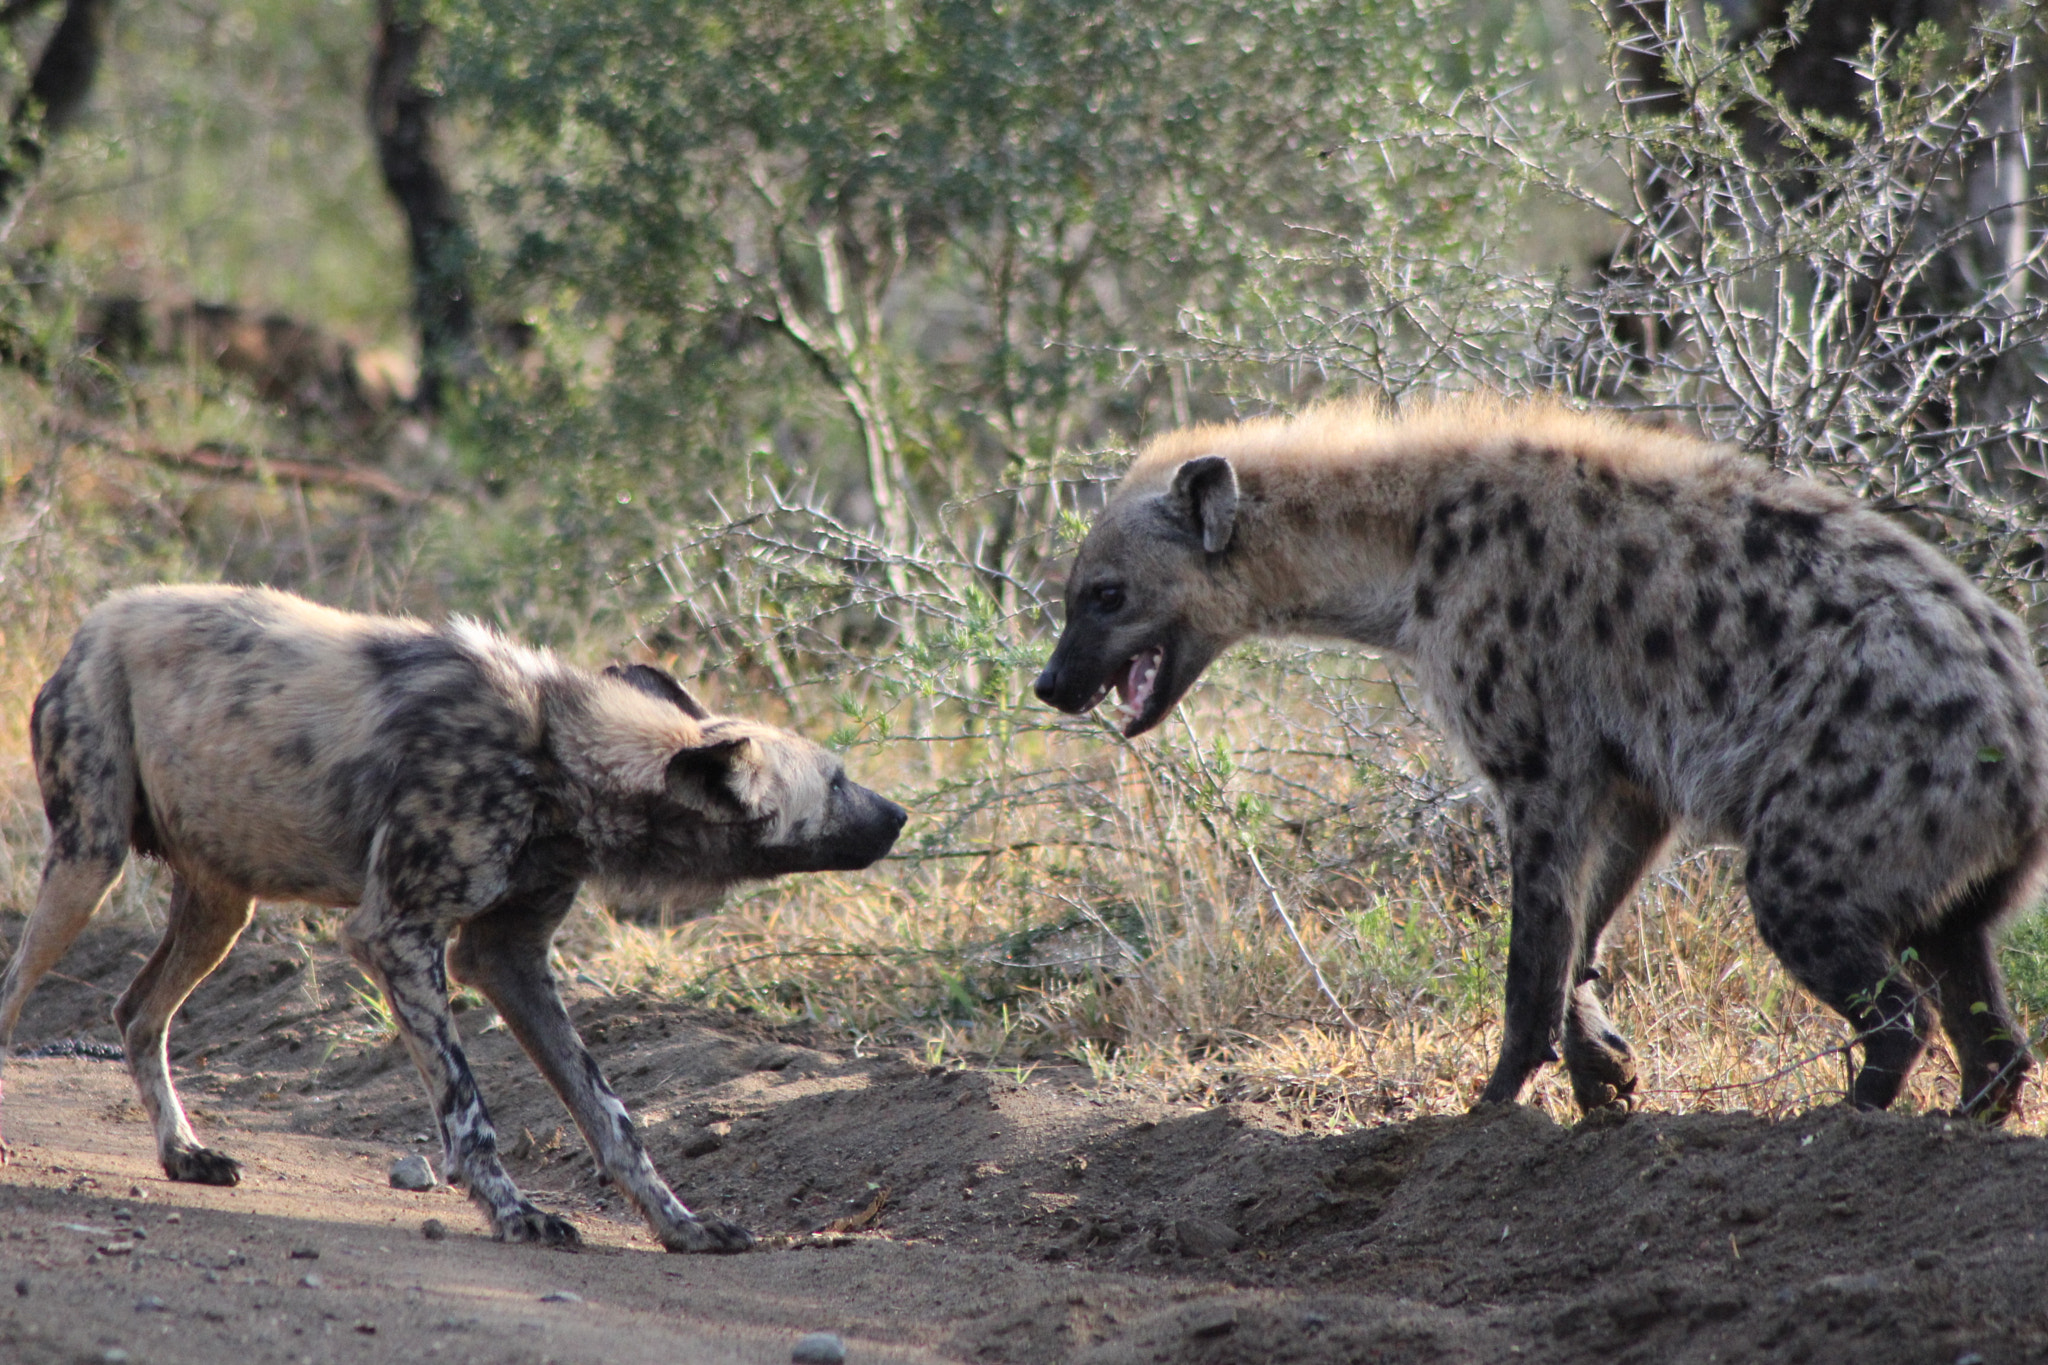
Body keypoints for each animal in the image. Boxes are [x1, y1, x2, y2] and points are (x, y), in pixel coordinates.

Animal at [0, 585, 913, 1252]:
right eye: (835, 782)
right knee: (17, 990)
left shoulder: (509, 959)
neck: (555, 756)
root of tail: (97, 619)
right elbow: (470, 1113)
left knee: (137, 1012)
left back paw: (183, 1154)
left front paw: (677, 1223)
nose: (903, 813)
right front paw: (517, 1215)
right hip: (87, 864)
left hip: (223, 904)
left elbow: (612, 1115)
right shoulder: (396, 936)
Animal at [1040, 401, 2048, 1129]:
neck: (1406, 548)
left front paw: (1489, 1108)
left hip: (1835, 822)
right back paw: (1956, 1122)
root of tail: (2024, 719)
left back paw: (1839, 1124)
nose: (1051, 685)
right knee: (1987, 1020)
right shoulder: (1630, 776)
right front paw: (1603, 1068)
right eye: (1071, 594)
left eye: (1106, 594)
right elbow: (1583, 928)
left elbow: (1536, 942)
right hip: (1945, 868)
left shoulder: (1538, 760)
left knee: (1899, 1007)